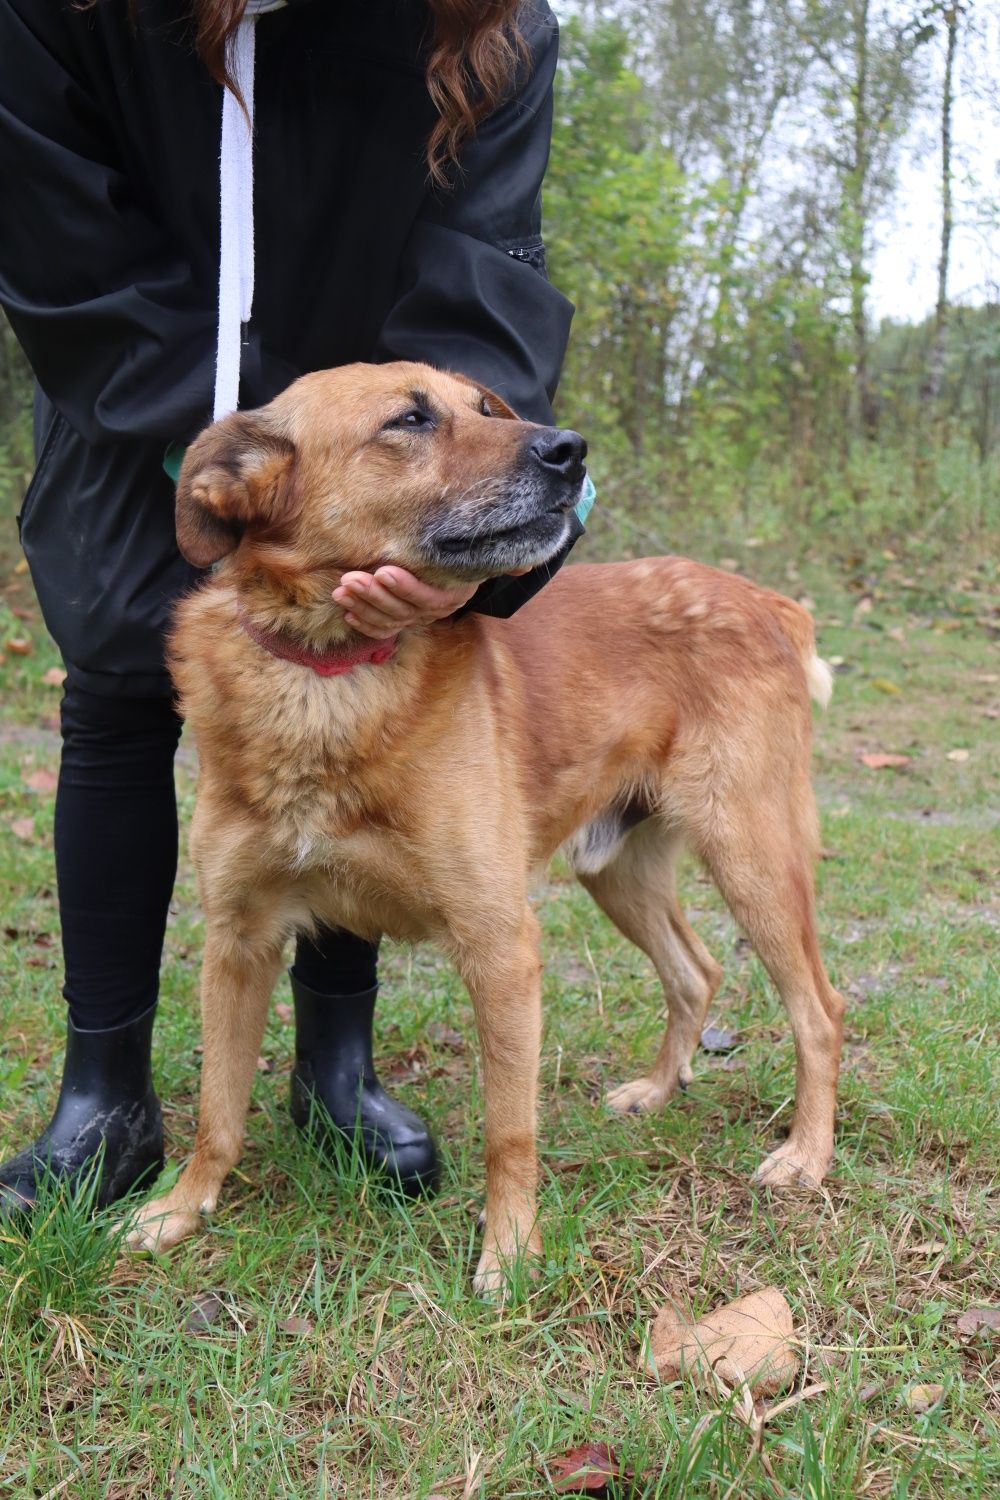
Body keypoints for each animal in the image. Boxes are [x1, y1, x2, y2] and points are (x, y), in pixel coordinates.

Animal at [125, 360, 845, 1290]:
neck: (329, 675)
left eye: (484, 407)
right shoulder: (238, 941)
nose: (571, 449)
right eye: (408, 420)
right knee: (697, 970)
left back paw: (806, 1155)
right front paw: (181, 1209)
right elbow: (218, 1109)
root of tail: (767, 601)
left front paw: (510, 1250)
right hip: (619, 871)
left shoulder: (500, 947)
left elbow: (511, 1131)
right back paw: (656, 1090)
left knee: (819, 1011)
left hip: (751, 858)